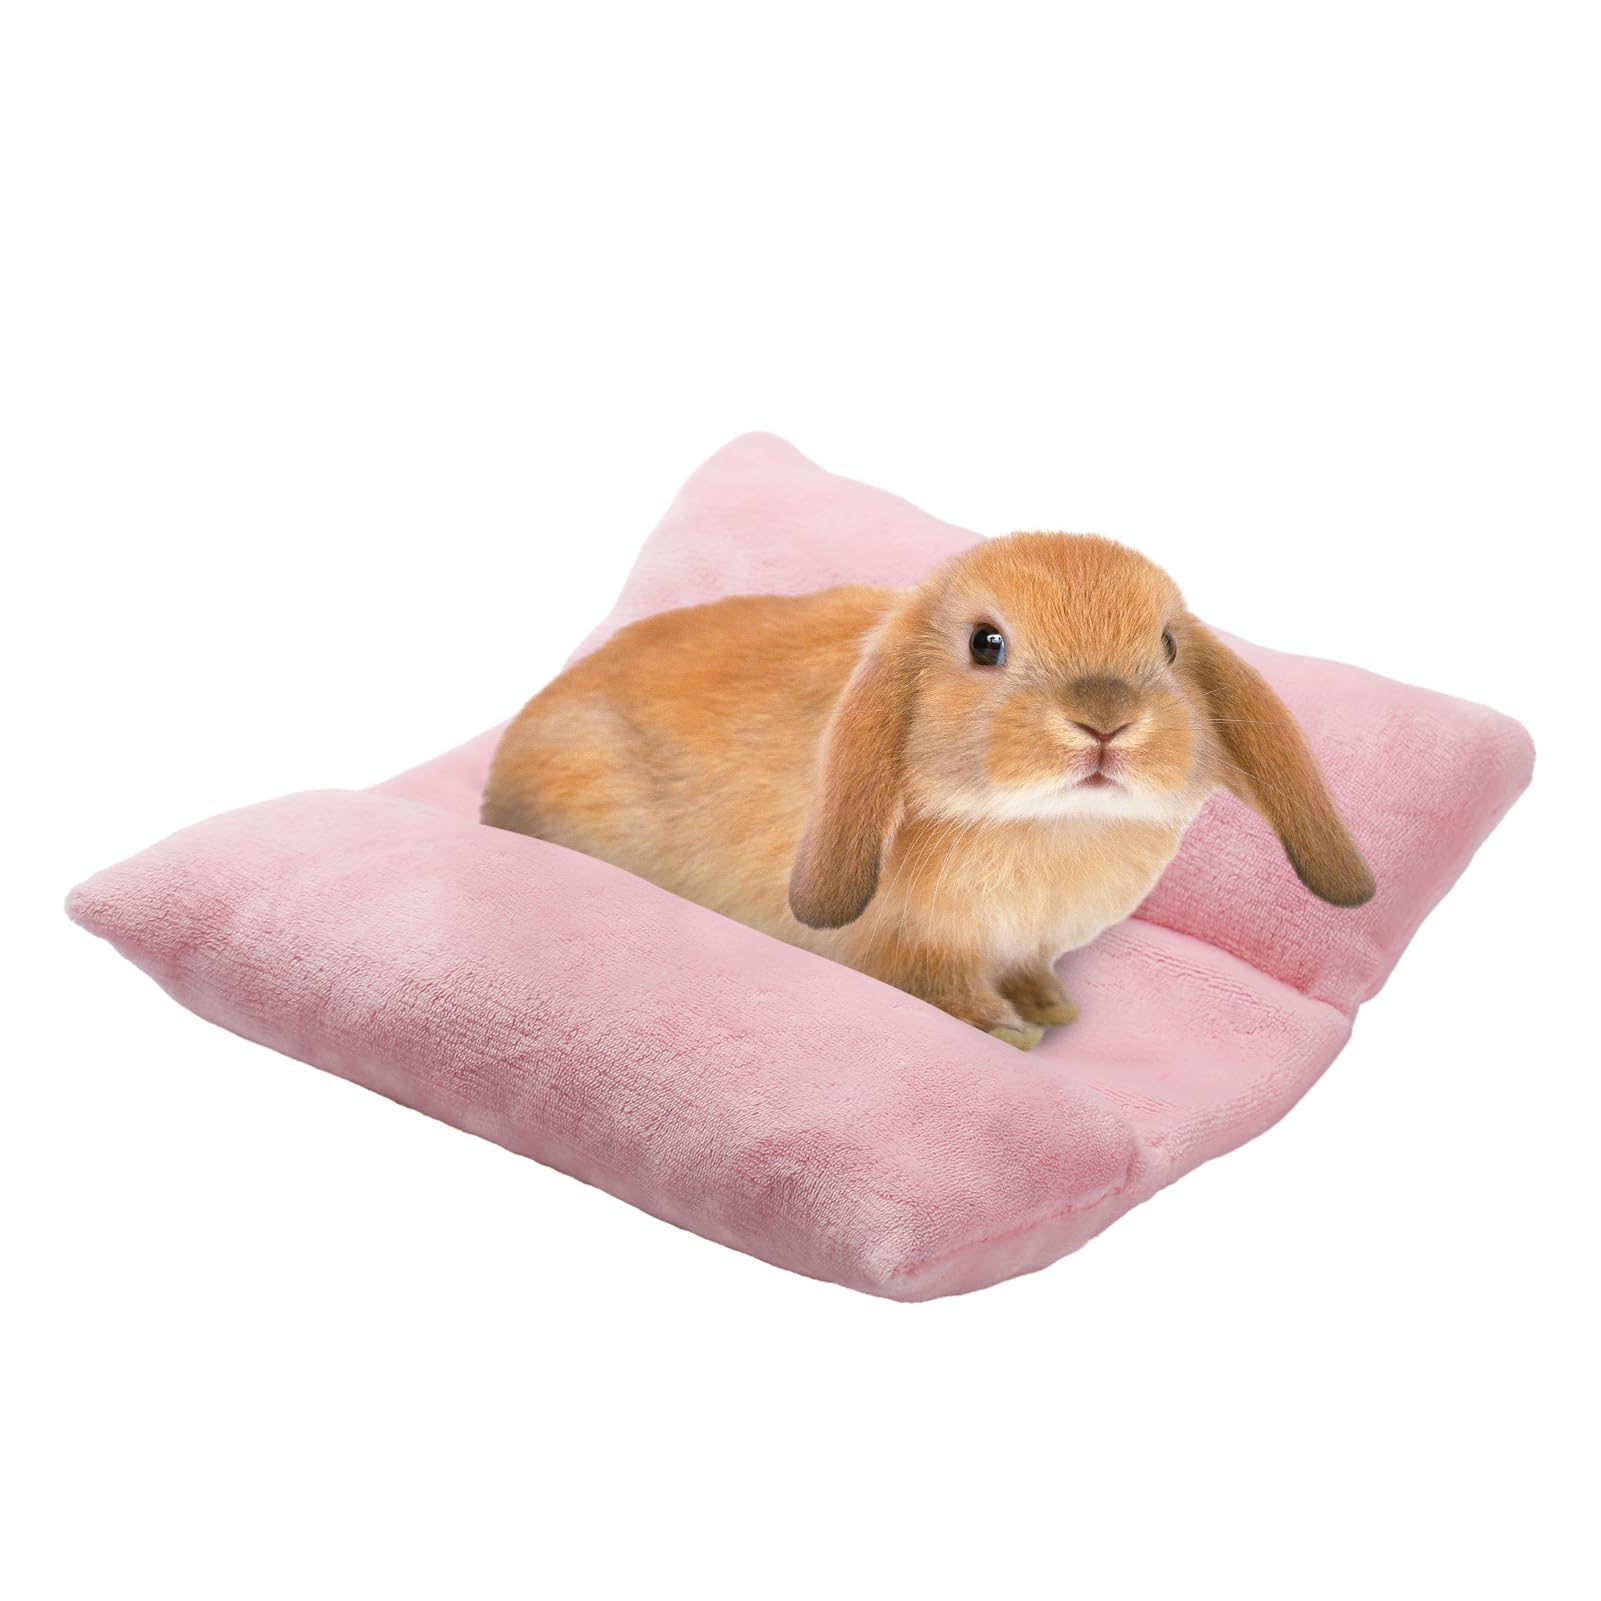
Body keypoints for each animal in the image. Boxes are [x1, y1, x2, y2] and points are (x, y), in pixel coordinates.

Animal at [481, 533, 1374, 1049]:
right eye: (986, 644)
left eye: (1167, 646)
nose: (1105, 720)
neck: (1046, 827)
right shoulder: (914, 947)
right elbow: (938, 986)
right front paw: (1006, 1028)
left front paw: (1049, 1007)